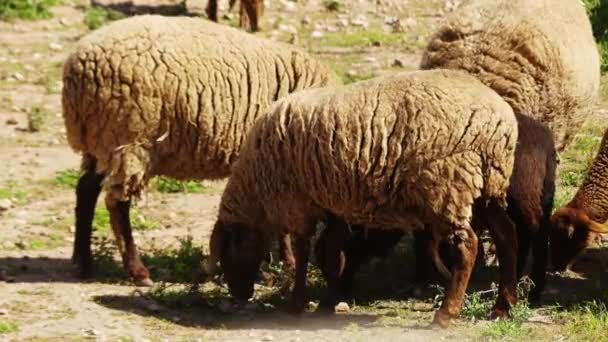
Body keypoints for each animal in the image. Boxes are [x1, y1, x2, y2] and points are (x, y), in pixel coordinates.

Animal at [63, 14, 340, 286]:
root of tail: (78, 67)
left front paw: (280, 260)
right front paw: (286, 261)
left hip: (101, 141)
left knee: (85, 189)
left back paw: (83, 262)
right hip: (130, 140)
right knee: (117, 202)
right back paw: (137, 271)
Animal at [208, 69, 516, 326]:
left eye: (226, 253)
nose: (239, 295)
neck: (256, 188)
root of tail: (500, 120)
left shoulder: (297, 203)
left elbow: (303, 252)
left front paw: (296, 303)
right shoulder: (331, 202)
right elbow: (333, 252)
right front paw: (328, 301)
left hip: (448, 183)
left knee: (468, 247)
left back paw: (446, 313)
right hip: (488, 185)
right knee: (506, 236)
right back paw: (504, 305)